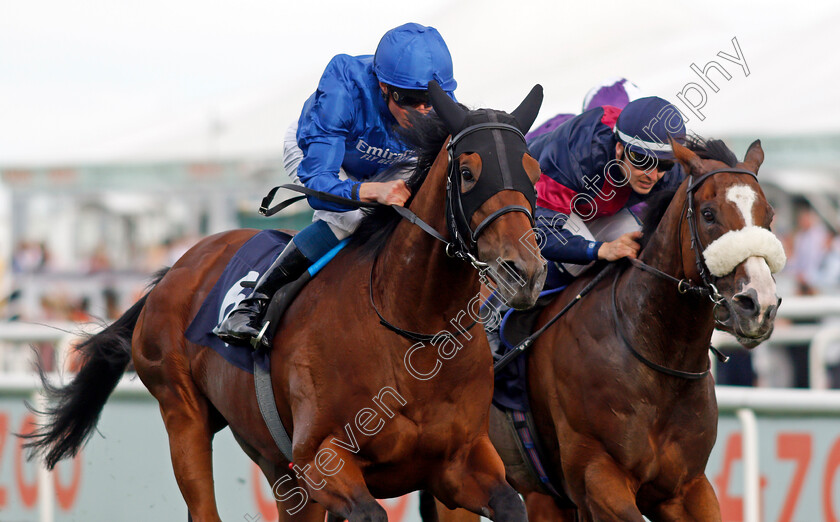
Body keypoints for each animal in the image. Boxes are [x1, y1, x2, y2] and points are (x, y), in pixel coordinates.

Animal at [23, 83, 548, 516]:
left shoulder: (460, 462)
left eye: (534, 170)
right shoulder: (321, 460)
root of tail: (176, 269)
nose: (524, 271)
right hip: (183, 415)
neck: (411, 331)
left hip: (275, 463)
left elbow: (510, 503)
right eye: (468, 171)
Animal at [436, 136, 784, 516]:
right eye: (708, 214)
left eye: (769, 216)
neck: (656, 356)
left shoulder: (687, 487)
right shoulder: (597, 475)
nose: (758, 304)